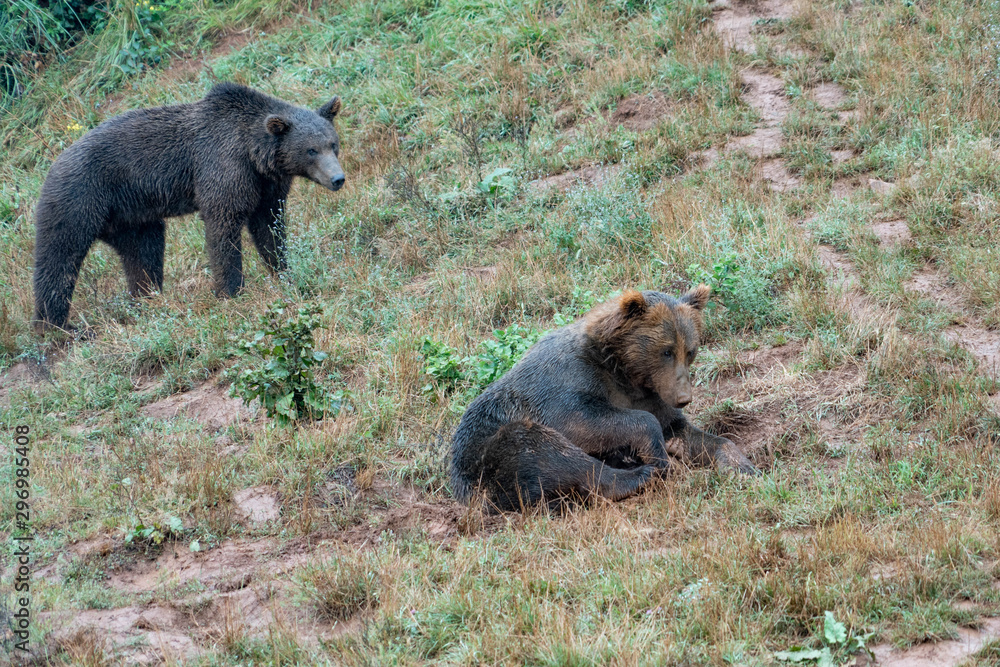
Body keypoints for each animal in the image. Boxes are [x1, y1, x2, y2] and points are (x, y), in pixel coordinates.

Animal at [32, 82, 345, 330]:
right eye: (311, 150)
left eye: (333, 144)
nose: (337, 178)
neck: (254, 154)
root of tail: (50, 166)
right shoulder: (221, 168)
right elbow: (223, 228)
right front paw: (230, 290)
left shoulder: (266, 186)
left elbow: (269, 227)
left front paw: (283, 272)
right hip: (80, 200)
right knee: (59, 258)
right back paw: (56, 326)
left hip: (131, 216)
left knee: (143, 254)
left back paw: (147, 299)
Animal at [449, 286, 758, 512]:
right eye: (666, 351)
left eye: (690, 350)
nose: (683, 398)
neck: (623, 371)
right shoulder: (568, 381)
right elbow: (584, 421)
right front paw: (657, 454)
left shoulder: (652, 396)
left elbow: (685, 431)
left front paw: (742, 465)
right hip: (487, 459)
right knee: (545, 452)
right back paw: (642, 473)